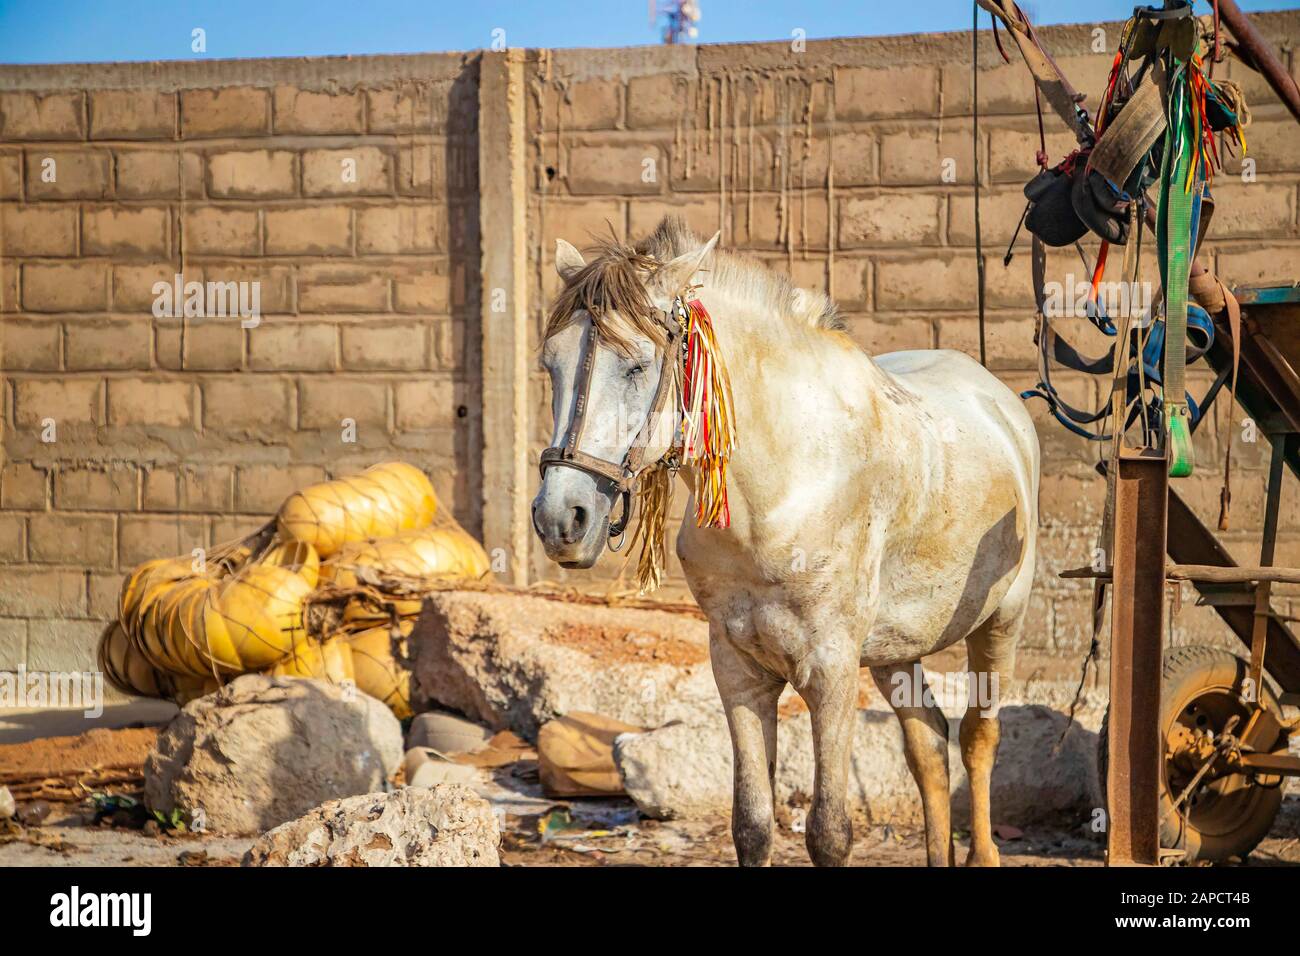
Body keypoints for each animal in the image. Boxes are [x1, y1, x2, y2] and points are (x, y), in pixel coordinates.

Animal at [533, 218, 1040, 868]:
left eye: (637, 367)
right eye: (550, 365)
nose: (560, 520)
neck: (779, 494)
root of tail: (1000, 403)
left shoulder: (832, 672)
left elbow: (828, 831)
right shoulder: (738, 670)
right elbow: (751, 824)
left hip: (1001, 621)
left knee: (979, 736)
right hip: (896, 651)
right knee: (928, 745)